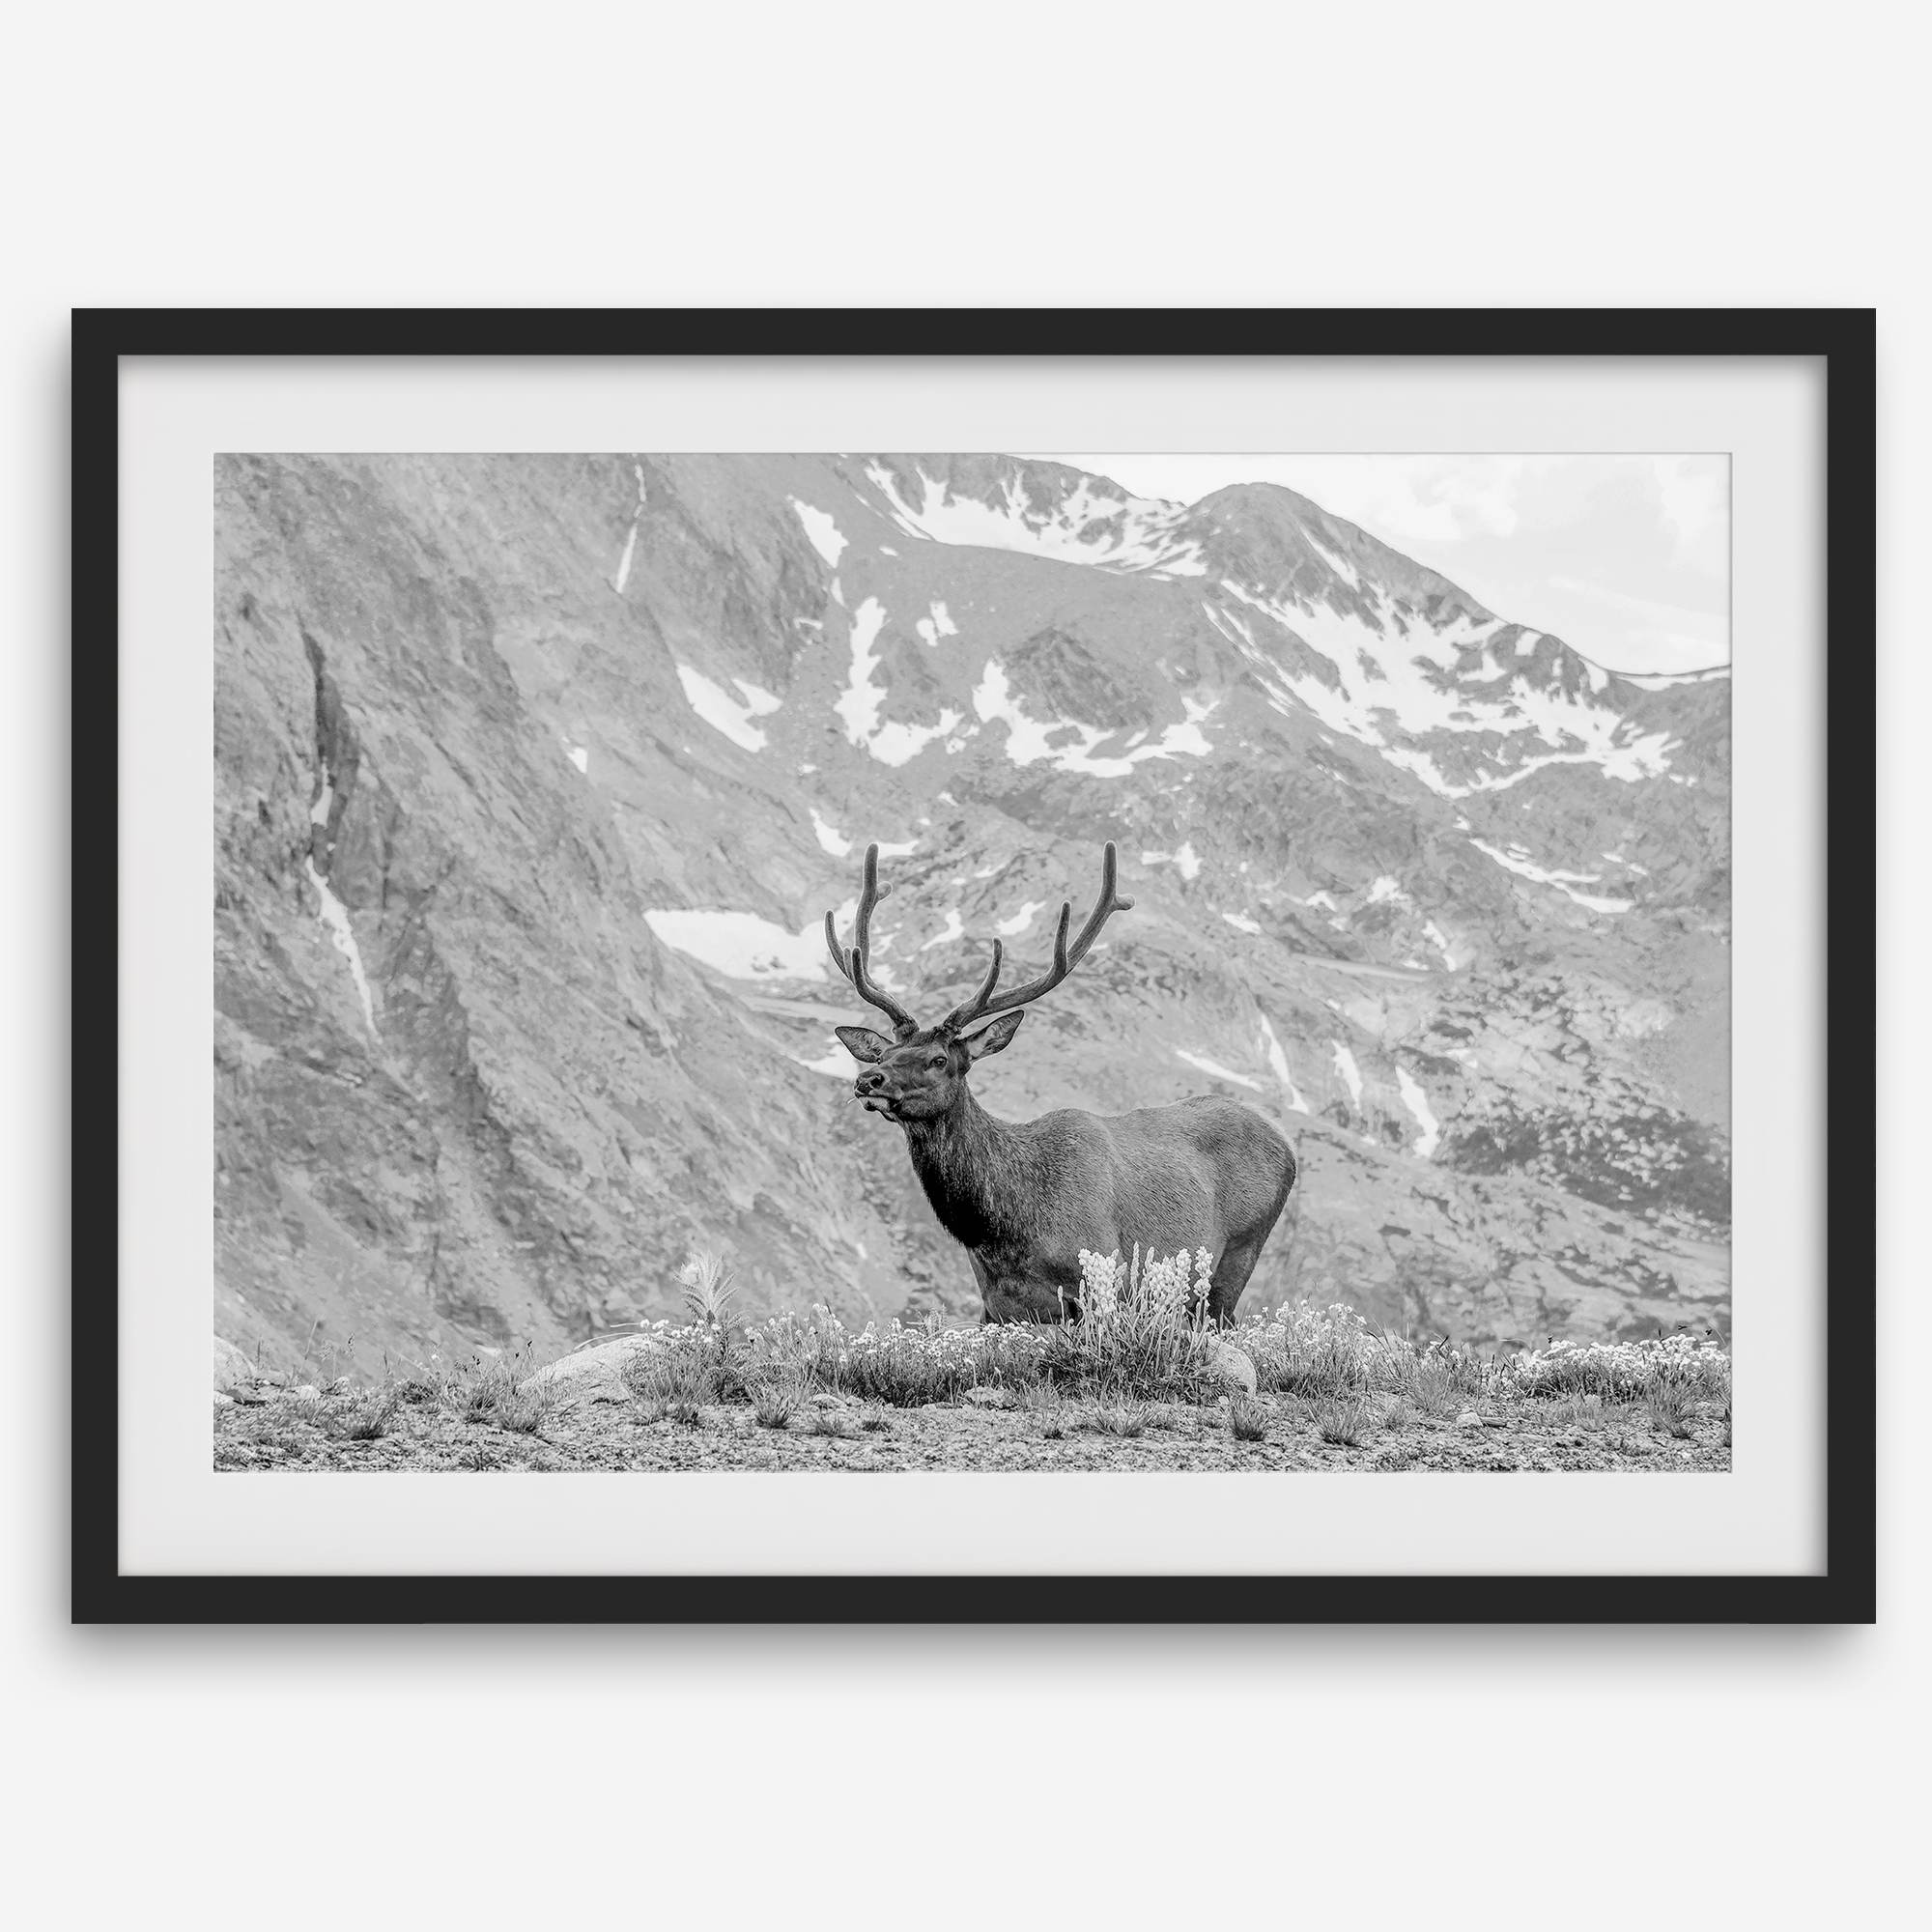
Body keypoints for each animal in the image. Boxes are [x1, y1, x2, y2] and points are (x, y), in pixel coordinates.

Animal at [825, 841, 1296, 1325]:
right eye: (882, 1055)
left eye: (939, 1060)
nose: (868, 1079)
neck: (1003, 1232)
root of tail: (1284, 1141)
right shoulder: (996, 1307)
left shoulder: (1105, 1278)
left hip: (1239, 1253)